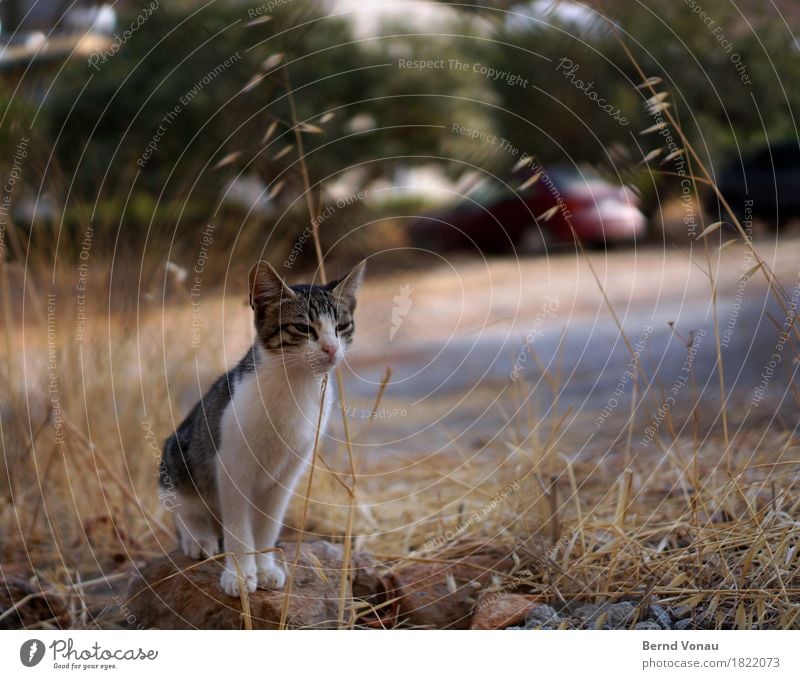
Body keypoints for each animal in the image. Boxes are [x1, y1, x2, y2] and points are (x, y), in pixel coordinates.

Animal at [159, 260, 366, 596]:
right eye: (304, 328)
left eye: (342, 327)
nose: (331, 349)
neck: (296, 386)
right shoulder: (232, 465)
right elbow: (239, 528)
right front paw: (241, 574)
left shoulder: (288, 473)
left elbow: (267, 526)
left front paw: (265, 567)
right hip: (176, 456)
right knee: (184, 509)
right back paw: (198, 538)